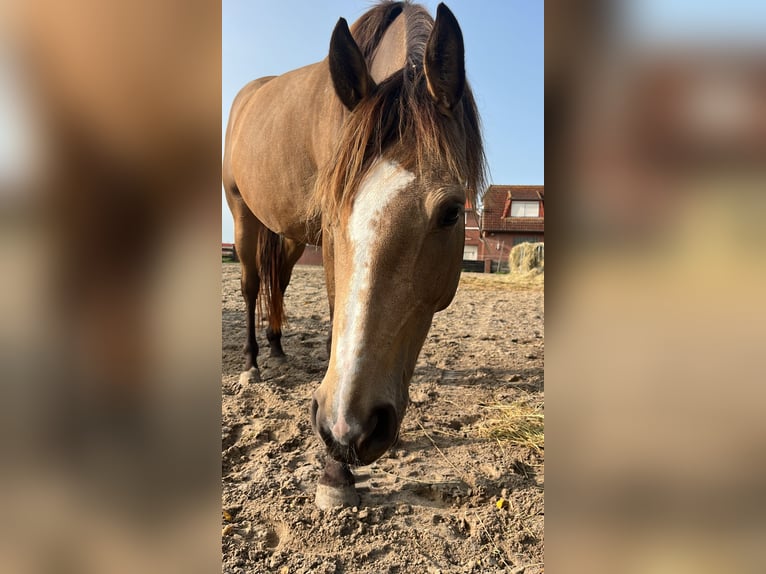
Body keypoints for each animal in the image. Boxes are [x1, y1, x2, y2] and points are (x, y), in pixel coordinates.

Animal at [224, 1, 486, 508]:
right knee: (250, 286)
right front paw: (334, 473)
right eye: (332, 207)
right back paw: (252, 365)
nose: (347, 429)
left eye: (451, 211)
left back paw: (278, 350)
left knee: (278, 284)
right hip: (243, 212)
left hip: (288, 234)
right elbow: (333, 321)